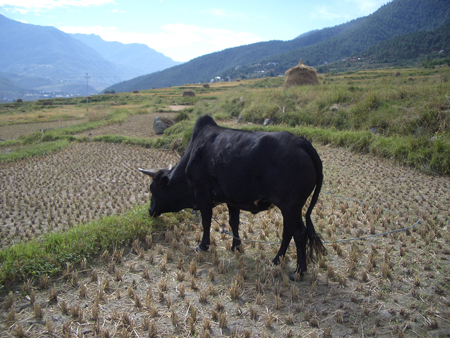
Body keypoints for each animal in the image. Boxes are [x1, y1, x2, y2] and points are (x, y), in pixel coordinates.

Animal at [139, 115, 326, 278]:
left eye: (153, 188)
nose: (150, 210)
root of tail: (301, 142)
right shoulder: (232, 200)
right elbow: (233, 222)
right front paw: (236, 246)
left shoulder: (202, 194)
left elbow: (206, 221)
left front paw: (203, 245)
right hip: (292, 208)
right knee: (289, 231)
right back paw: (276, 259)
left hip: (290, 206)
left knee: (299, 233)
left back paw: (299, 271)